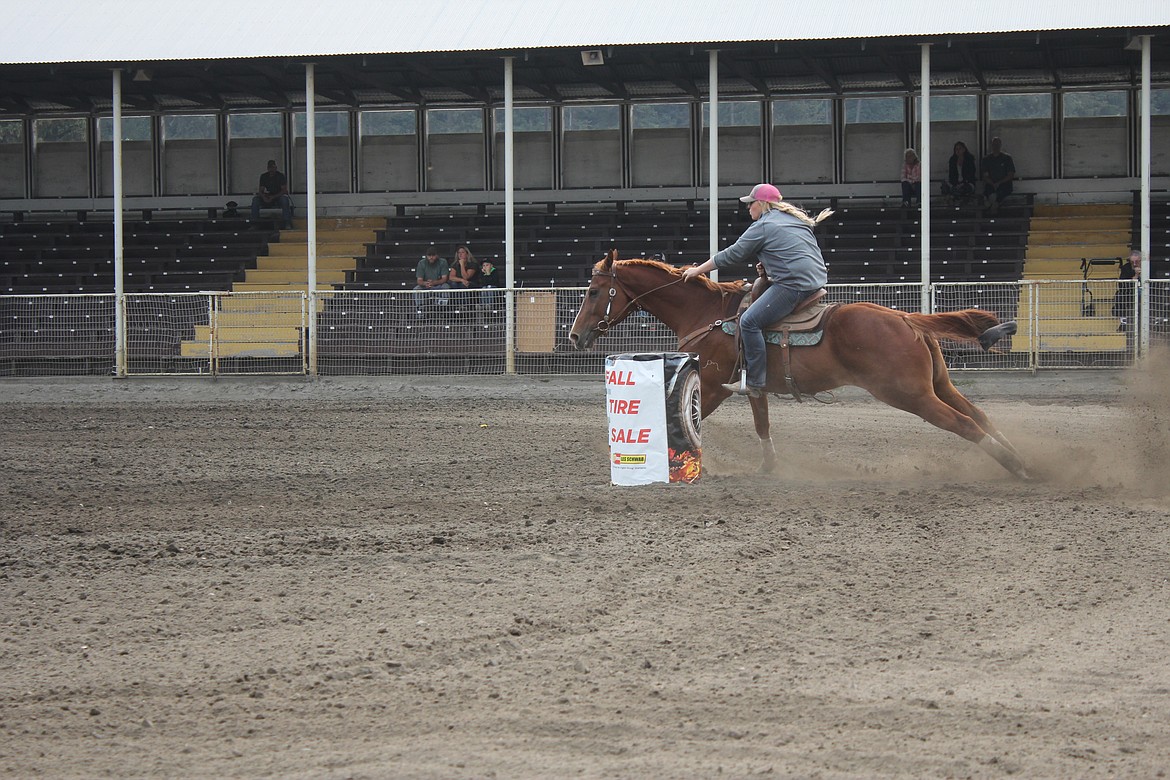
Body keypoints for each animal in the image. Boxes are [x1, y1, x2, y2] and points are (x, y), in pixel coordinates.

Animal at [570, 253, 1029, 479]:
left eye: (593, 291)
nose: (575, 336)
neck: (708, 313)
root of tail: (904, 317)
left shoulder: (713, 385)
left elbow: (692, 422)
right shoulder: (752, 387)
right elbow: (762, 425)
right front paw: (769, 467)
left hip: (910, 394)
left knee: (965, 425)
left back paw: (1021, 468)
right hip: (937, 385)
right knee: (979, 416)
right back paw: (1023, 457)